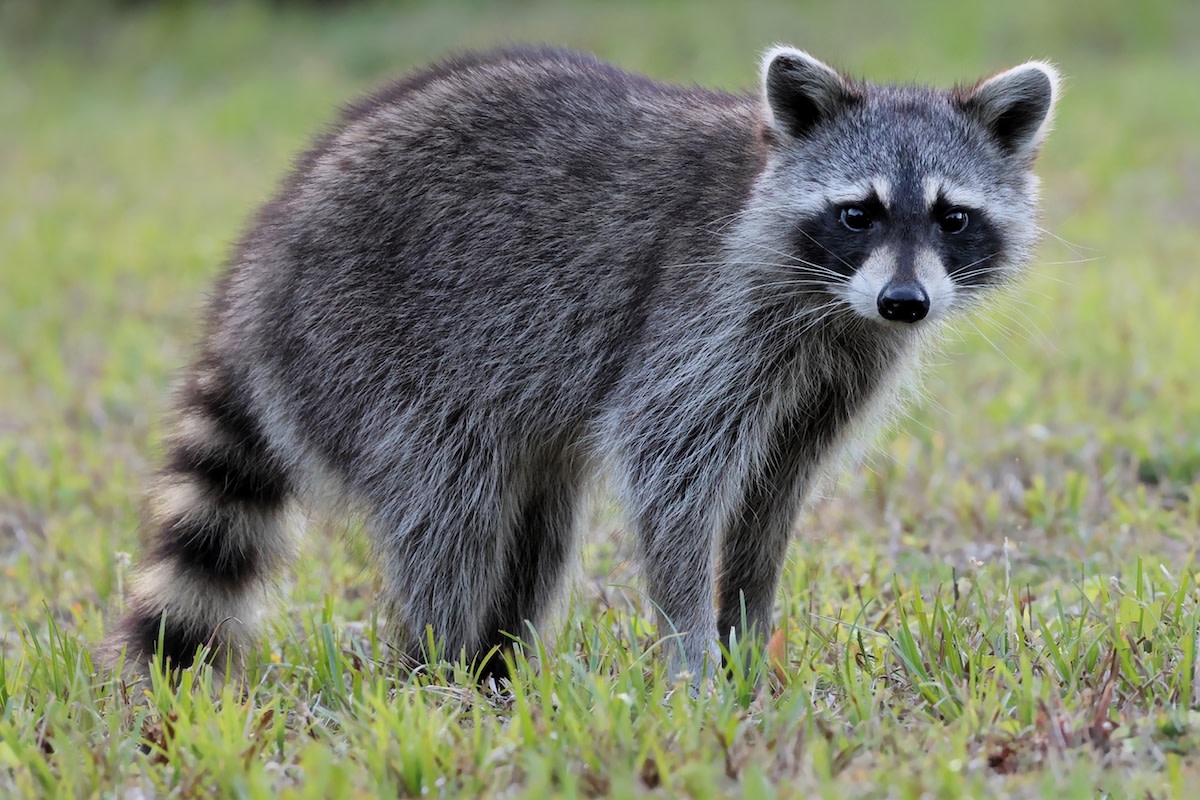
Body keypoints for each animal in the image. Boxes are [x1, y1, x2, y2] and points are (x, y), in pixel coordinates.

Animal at [101, 46, 1060, 684]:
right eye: (859, 212)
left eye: (953, 218)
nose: (907, 303)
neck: (835, 301)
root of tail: (257, 270)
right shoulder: (705, 315)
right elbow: (670, 473)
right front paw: (690, 654)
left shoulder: (837, 367)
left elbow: (772, 498)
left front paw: (748, 633)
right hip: (370, 353)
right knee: (449, 511)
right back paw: (434, 667)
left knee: (537, 526)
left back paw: (498, 665)